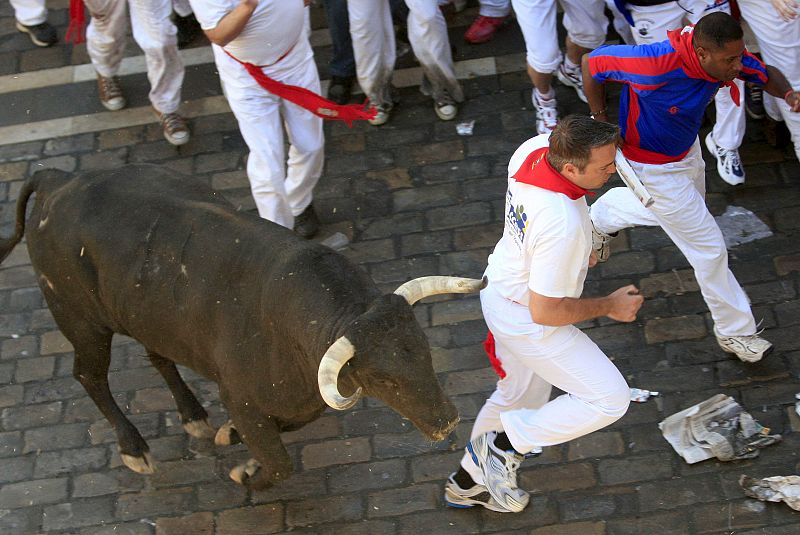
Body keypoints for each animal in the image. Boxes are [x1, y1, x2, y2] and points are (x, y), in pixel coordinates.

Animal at [1, 166, 488, 490]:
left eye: (424, 351)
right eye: (383, 379)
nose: (447, 422)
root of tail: (57, 179)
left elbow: (280, 431)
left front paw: (229, 435)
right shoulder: (240, 395)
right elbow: (278, 463)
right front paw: (246, 472)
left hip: (149, 316)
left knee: (157, 355)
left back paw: (194, 417)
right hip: (80, 320)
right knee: (90, 375)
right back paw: (134, 449)